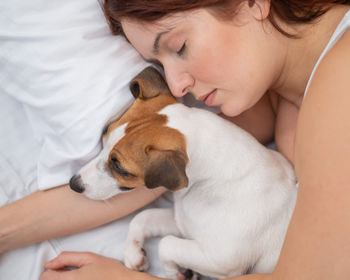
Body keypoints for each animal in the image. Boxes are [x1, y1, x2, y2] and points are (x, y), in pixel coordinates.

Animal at [69, 66, 298, 278]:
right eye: (105, 132)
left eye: (120, 169)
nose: (73, 183)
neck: (211, 179)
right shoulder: (183, 221)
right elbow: (143, 217)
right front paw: (133, 253)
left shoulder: (220, 259)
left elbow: (166, 244)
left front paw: (175, 272)